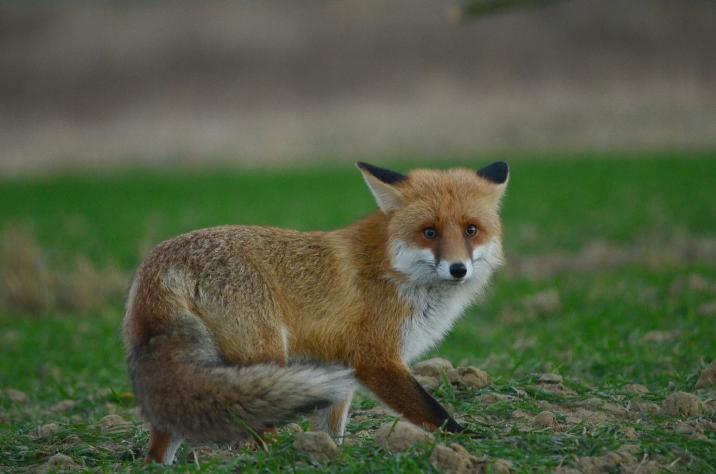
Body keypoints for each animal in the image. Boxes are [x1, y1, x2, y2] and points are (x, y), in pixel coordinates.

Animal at [123, 161, 510, 464]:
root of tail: (161, 260)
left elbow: (331, 429)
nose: (458, 269)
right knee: (257, 427)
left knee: (161, 440)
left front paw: (331, 454)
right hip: (266, 357)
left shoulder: (338, 369)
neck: (392, 269)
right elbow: (434, 412)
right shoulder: (376, 359)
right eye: (429, 232)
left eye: (471, 230)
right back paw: (281, 457)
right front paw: (471, 444)